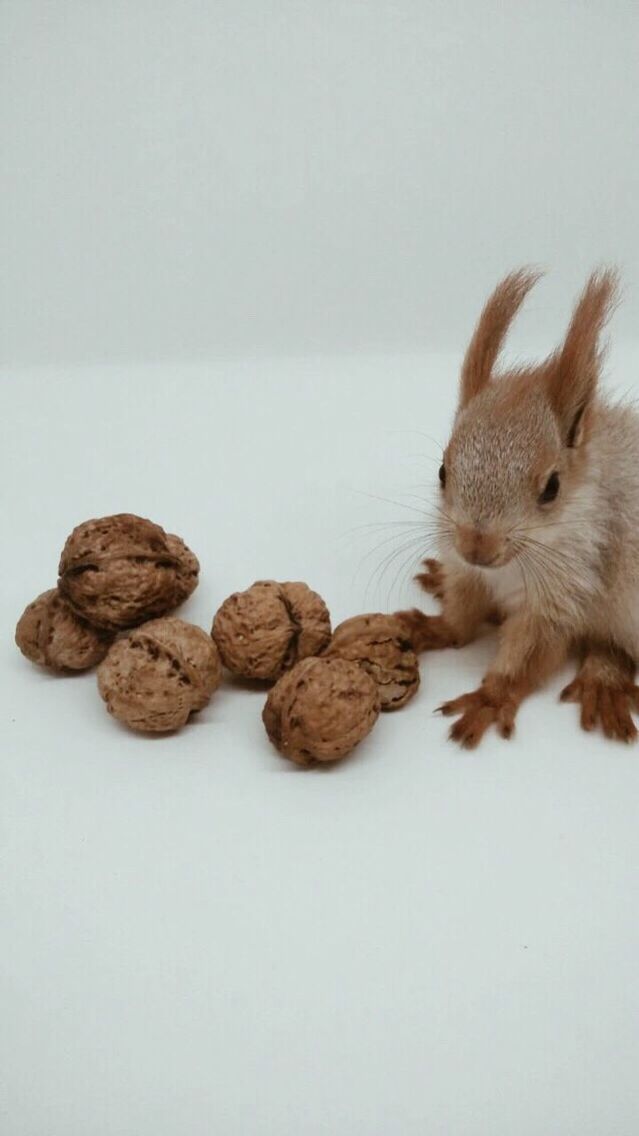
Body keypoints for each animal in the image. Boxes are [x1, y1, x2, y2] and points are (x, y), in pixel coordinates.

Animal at [393, 265, 636, 745]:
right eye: (442, 471)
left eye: (552, 487)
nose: (476, 546)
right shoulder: (468, 575)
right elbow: (462, 615)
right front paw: (432, 626)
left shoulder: (567, 591)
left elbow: (532, 653)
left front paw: (489, 698)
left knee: (612, 647)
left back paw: (604, 679)